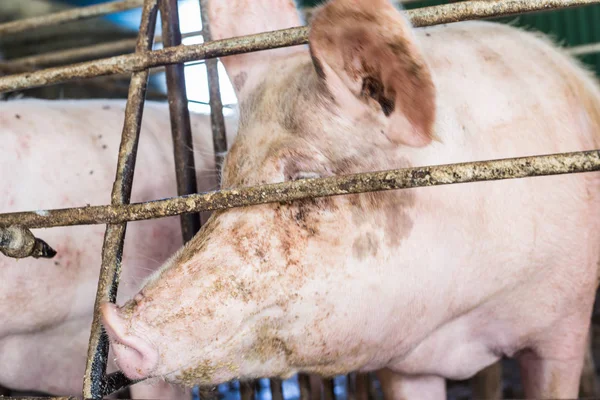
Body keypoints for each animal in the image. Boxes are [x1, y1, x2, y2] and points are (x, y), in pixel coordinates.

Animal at [101, 0, 600, 398]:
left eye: (303, 179)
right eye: (226, 181)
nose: (114, 323)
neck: (461, 322)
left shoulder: (567, 319)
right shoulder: (404, 363)